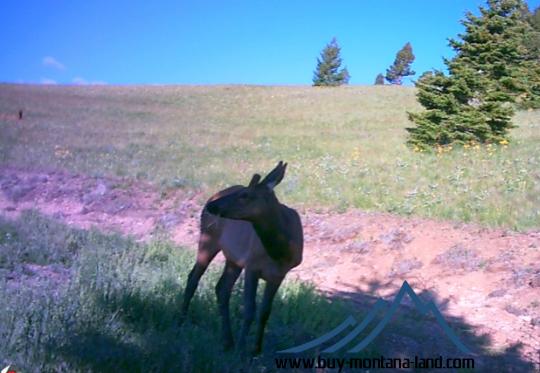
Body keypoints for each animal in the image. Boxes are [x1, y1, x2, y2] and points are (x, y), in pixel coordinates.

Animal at [179, 161, 302, 354]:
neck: (279, 251)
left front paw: (255, 350)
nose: (211, 206)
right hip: (208, 238)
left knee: (222, 288)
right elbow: (249, 310)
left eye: (244, 194)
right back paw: (181, 322)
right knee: (193, 277)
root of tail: (214, 194)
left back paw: (227, 341)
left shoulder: (278, 275)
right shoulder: (252, 265)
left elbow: (265, 312)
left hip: (233, 259)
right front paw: (242, 349)